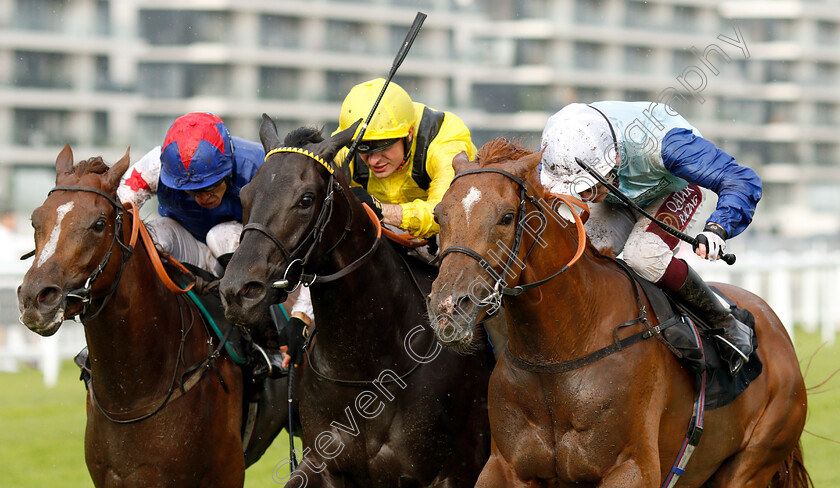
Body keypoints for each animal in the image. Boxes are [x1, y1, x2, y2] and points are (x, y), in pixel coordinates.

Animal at [218, 116, 492, 486]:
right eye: (245, 194)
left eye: (306, 199)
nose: (239, 291)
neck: (370, 368)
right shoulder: (325, 463)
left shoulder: (453, 472)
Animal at [430, 137, 812, 488]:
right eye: (439, 215)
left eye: (507, 217)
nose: (449, 307)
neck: (560, 350)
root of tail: (775, 328)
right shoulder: (505, 467)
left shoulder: (631, 468)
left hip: (754, 459)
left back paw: (734, 334)